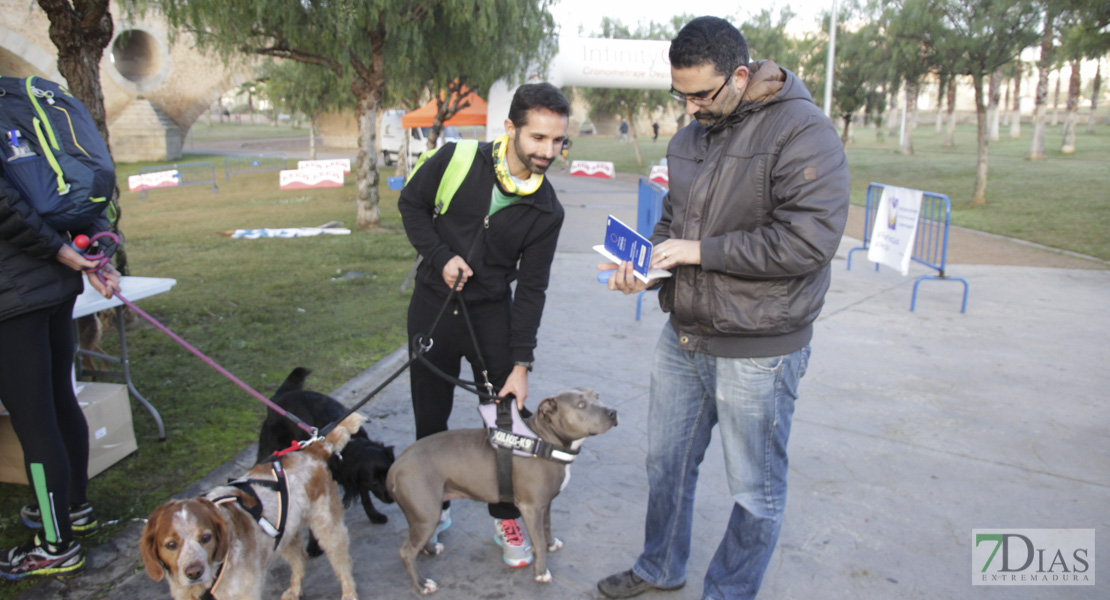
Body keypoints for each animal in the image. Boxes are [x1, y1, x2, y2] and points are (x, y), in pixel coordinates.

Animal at [257, 365, 397, 539]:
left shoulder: (356, 476)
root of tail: (278, 399)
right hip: (269, 449)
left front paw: (374, 515)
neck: (346, 444)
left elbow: (365, 496)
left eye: (388, 474)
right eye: (374, 482)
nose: (391, 497)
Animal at [388, 385, 617, 590]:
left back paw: (431, 549)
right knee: (406, 552)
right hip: (426, 513)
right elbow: (537, 542)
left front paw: (551, 544)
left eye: (597, 396)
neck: (544, 441)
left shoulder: (545, 503)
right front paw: (541, 572)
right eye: (581, 405)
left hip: (425, 514)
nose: (613, 412)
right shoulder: (531, 508)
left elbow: (546, 526)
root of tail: (396, 466)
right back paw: (422, 584)